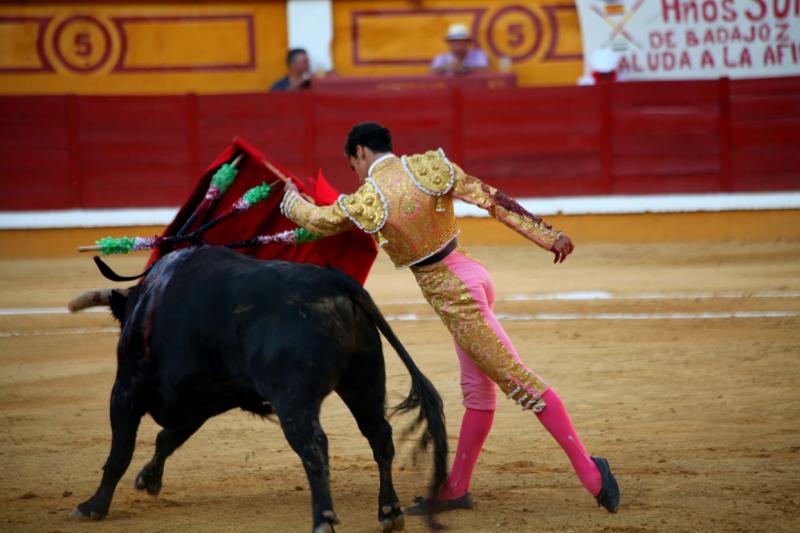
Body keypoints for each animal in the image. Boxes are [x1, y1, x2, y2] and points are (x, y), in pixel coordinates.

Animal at [71, 247, 446, 528]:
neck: (148, 303)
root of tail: (333, 280)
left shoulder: (126, 390)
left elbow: (120, 452)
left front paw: (92, 507)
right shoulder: (205, 396)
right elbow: (168, 438)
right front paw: (148, 479)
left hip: (294, 397)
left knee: (314, 446)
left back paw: (323, 519)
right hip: (363, 380)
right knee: (379, 435)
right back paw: (389, 511)